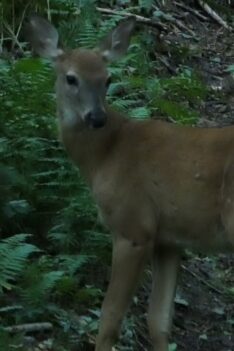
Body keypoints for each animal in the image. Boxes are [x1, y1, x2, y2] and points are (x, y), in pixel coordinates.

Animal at [25, 14, 234, 351]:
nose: (97, 117)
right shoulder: (169, 239)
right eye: (71, 78)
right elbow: (158, 321)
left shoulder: (133, 226)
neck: (105, 157)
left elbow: (109, 317)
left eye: (108, 79)